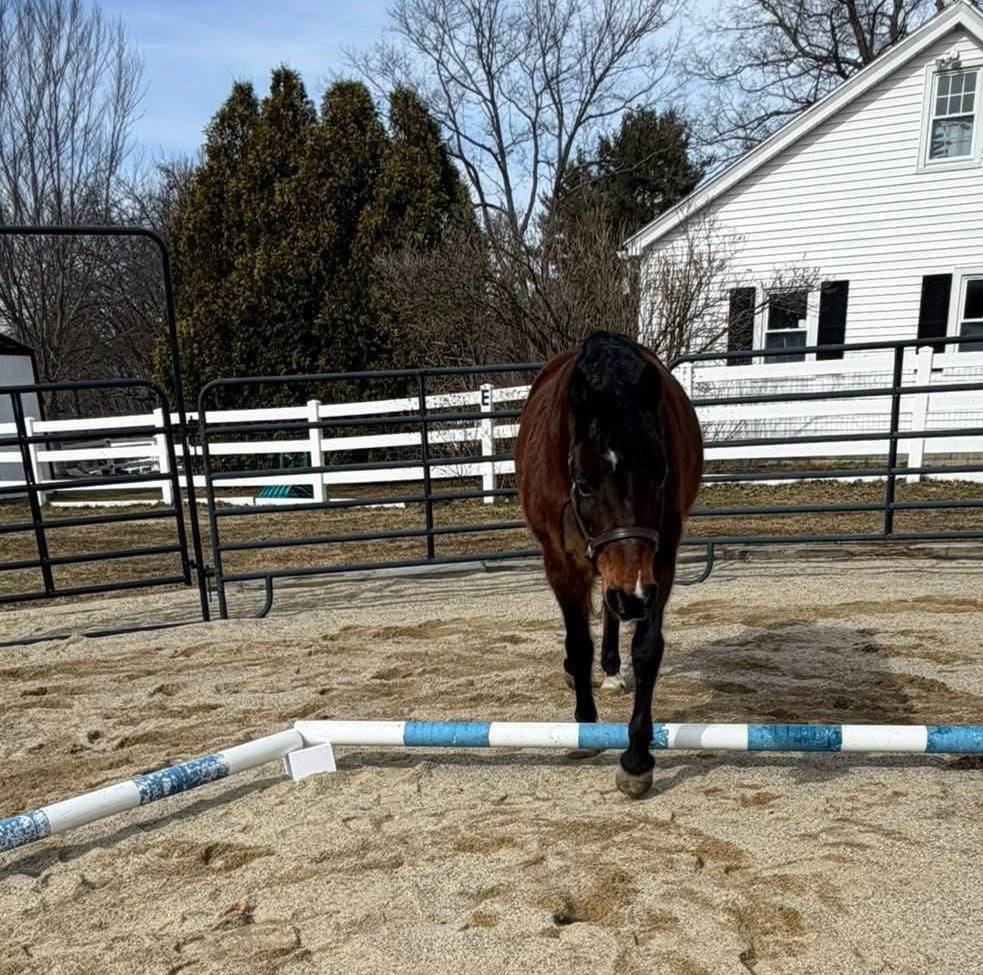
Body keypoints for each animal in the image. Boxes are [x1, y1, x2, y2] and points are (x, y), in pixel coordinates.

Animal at [515, 331, 703, 798]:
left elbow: (647, 650)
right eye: (584, 483)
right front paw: (585, 728)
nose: (633, 597)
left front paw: (636, 759)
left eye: (660, 475)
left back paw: (613, 668)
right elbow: (578, 643)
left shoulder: (660, 561)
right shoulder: (561, 562)